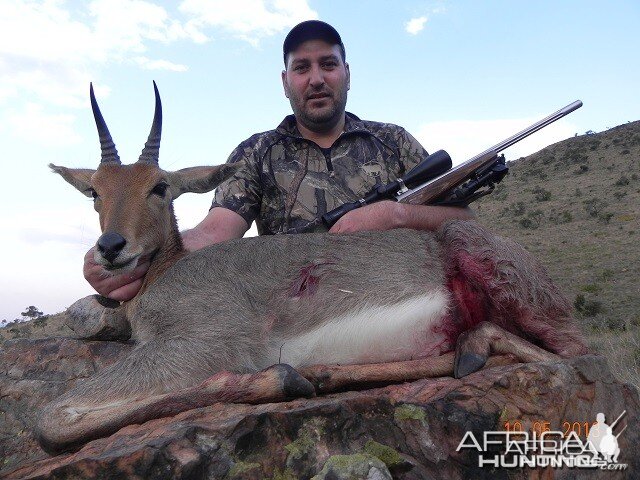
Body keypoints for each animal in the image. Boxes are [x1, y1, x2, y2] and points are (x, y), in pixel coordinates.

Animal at [40, 84, 588, 456]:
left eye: (160, 186)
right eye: (94, 190)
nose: (110, 248)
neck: (165, 276)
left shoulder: (204, 344)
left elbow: (51, 419)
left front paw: (277, 379)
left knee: (568, 355)